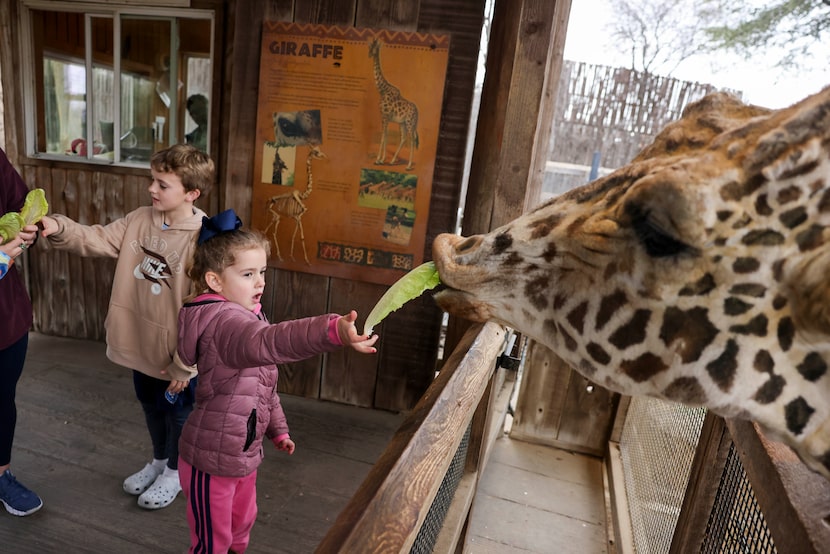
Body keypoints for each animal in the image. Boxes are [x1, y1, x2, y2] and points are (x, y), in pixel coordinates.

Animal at [368, 38, 419, 171]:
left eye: (376, 47)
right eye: (370, 47)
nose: (369, 54)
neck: (382, 90)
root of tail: (417, 112)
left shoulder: (384, 116)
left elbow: (383, 137)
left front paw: (378, 160)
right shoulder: (385, 117)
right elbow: (385, 136)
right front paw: (382, 159)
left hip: (410, 123)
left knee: (412, 140)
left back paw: (409, 166)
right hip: (403, 123)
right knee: (404, 138)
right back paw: (392, 161)